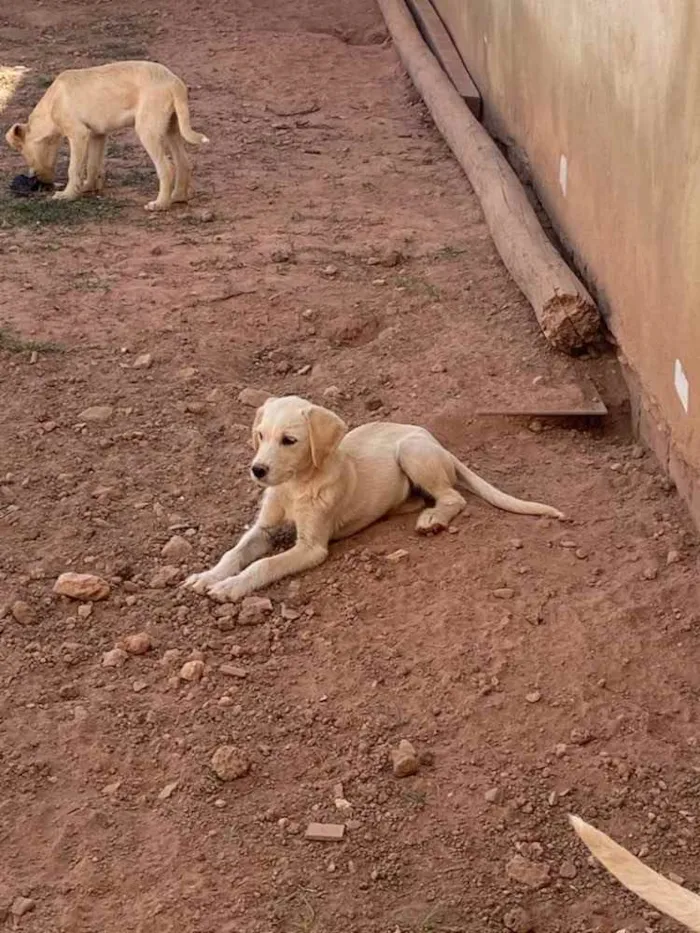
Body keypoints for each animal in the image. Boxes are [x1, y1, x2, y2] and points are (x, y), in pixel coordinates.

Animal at [4, 63, 208, 211]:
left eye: (26, 156)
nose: (38, 181)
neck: (52, 104)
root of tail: (173, 82)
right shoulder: (97, 135)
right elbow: (92, 165)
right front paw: (88, 187)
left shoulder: (78, 135)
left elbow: (73, 168)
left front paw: (68, 195)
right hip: (171, 129)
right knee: (183, 163)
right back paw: (178, 197)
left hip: (147, 131)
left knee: (167, 168)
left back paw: (160, 204)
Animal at [182, 396, 564, 604]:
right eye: (260, 435)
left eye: (289, 440)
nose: (257, 470)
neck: (296, 485)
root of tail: (434, 440)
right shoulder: (263, 529)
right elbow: (236, 553)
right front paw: (208, 576)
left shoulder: (311, 548)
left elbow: (263, 565)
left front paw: (230, 587)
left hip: (412, 451)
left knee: (454, 497)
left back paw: (433, 519)